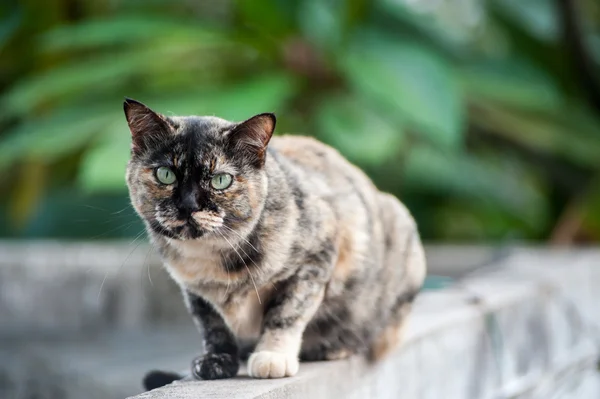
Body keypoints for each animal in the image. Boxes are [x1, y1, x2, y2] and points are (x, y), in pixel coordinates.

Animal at [123, 98, 426, 390]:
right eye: (165, 174)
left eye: (221, 180)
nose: (188, 205)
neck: (212, 258)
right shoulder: (194, 291)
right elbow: (212, 325)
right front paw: (217, 361)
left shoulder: (317, 256)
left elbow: (286, 313)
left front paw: (272, 356)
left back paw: (335, 347)